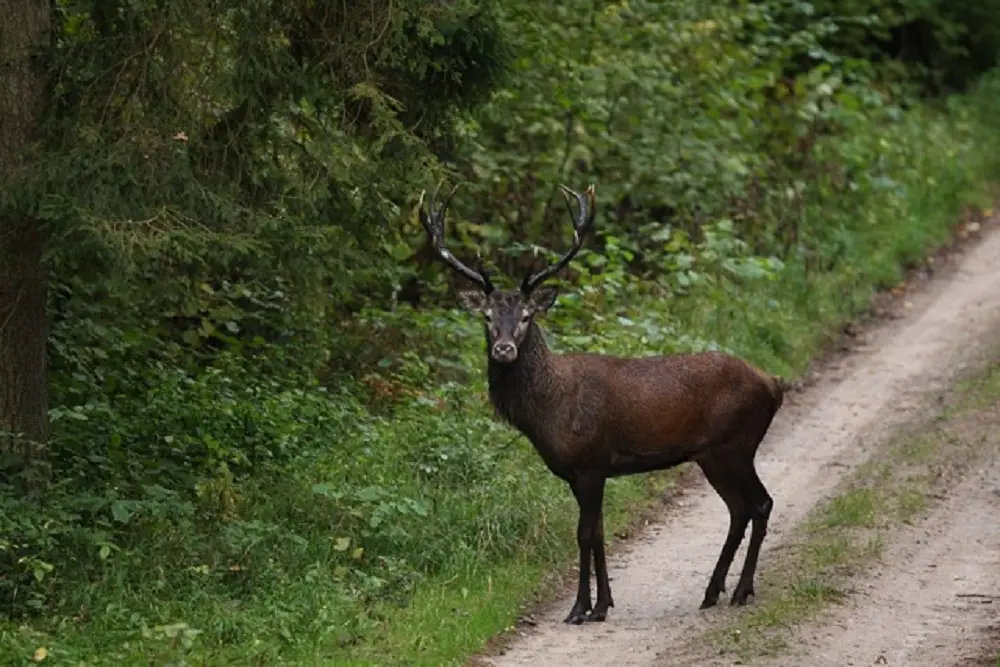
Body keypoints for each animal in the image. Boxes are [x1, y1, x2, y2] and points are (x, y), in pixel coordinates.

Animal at [416, 181, 788, 628]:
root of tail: (773, 384)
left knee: (760, 503)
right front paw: (602, 605)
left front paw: (579, 608)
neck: (546, 413)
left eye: (526, 316)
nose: (504, 349)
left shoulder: (591, 463)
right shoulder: (581, 474)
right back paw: (713, 591)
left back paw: (740, 590)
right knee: (740, 509)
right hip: (713, 454)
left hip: (734, 445)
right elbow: (598, 533)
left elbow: (582, 534)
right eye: (487, 317)